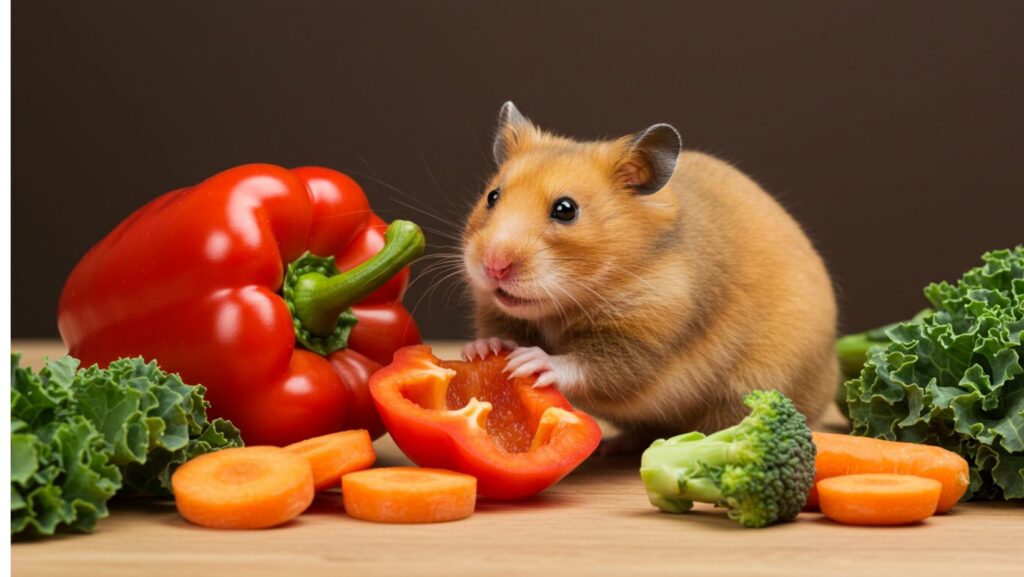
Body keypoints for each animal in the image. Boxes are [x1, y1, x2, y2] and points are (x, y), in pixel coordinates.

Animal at [460, 102, 838, 451]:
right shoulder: (495, 311)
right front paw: (481, 350)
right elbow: (498, 331)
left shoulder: (646, 337)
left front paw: (531, 361)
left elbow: (595, 366)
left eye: (566, 210)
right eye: (493, 196)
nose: (493, 265)